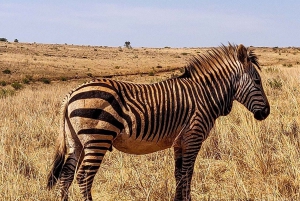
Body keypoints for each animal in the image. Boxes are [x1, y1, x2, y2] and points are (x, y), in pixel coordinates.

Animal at [46, 44, 270, 201]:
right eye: (257, 82)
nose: (267, 113)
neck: (205, 95)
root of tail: (71, 94)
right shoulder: (193, 137)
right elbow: (188, 174)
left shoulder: (180, 142)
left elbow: (179, 174)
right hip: (97, 139)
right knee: (83, 177)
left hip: (76, 141)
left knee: (66, 176)